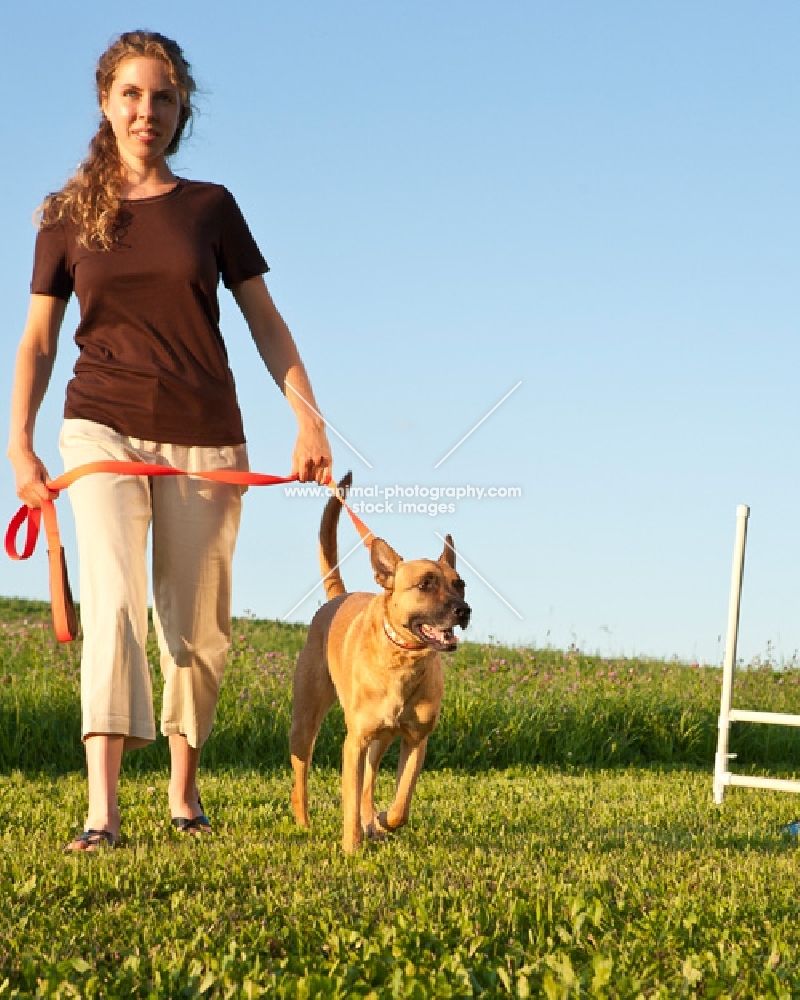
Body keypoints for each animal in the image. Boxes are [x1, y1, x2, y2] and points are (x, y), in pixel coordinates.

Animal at [292, 474, 472, 852]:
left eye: (460, 584)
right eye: (425, 584)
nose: (464, 610)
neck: (403, 660)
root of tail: (340, 597)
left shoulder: (416, 739)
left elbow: (401, 802)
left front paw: (383, 821)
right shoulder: (355, 742)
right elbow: (349, 797)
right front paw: (351, 846)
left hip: (382, 738)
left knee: (370, 780)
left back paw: (372, 821)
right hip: (305, 720)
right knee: (302, 771)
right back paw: (303, 823)